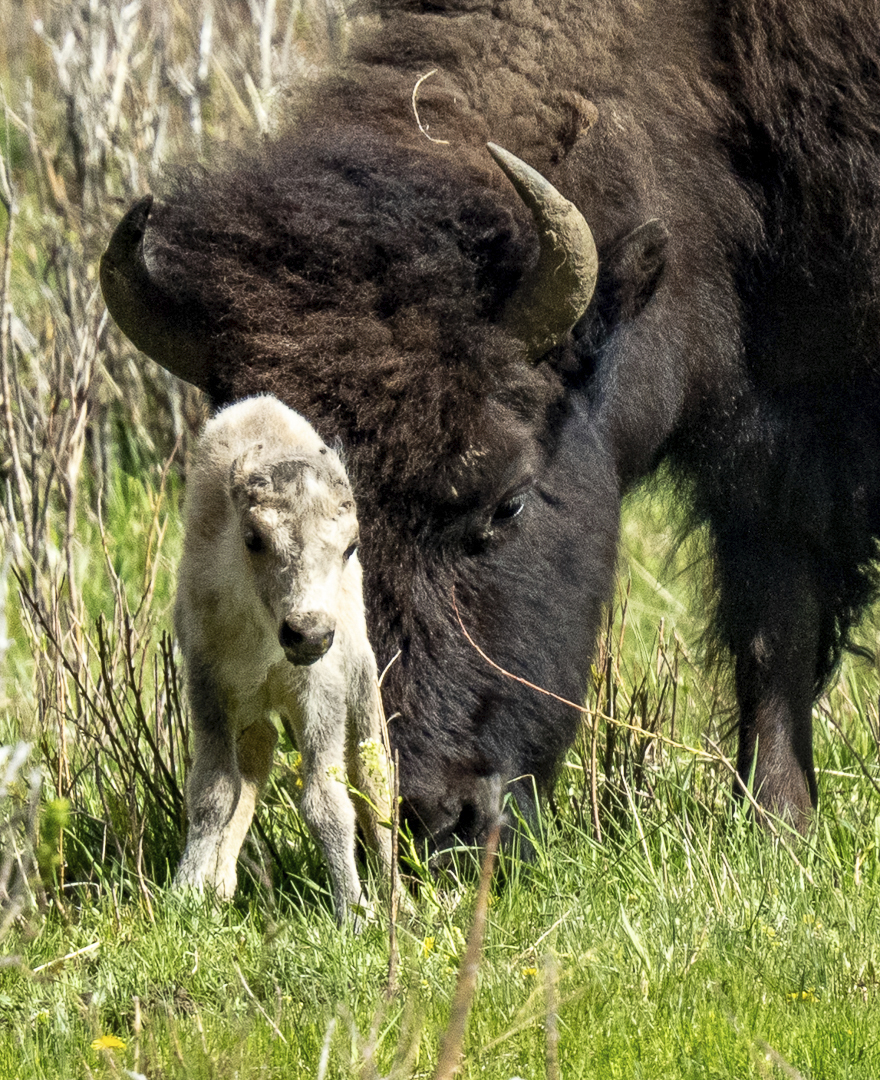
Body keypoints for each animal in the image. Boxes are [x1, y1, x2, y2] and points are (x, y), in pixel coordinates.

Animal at [100, 0, 880, 851]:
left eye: (508, 502)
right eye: (255, 536)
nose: (434, 818)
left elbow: (780, 624)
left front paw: (776, 826)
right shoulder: (767, 448)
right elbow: (772, 622)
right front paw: (779, 825)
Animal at [174, 395, 392, 922]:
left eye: (351, 546)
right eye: (254, 538)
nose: (308, 633)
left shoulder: (320, 693)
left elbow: (327, 800)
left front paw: (355, 912)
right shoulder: (209, 686)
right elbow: (214, 790)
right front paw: (186, 892)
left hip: (361, 682)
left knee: (373, 777)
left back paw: (404, 896)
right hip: (253, 710)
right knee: (257, 756)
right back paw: (220, 885)